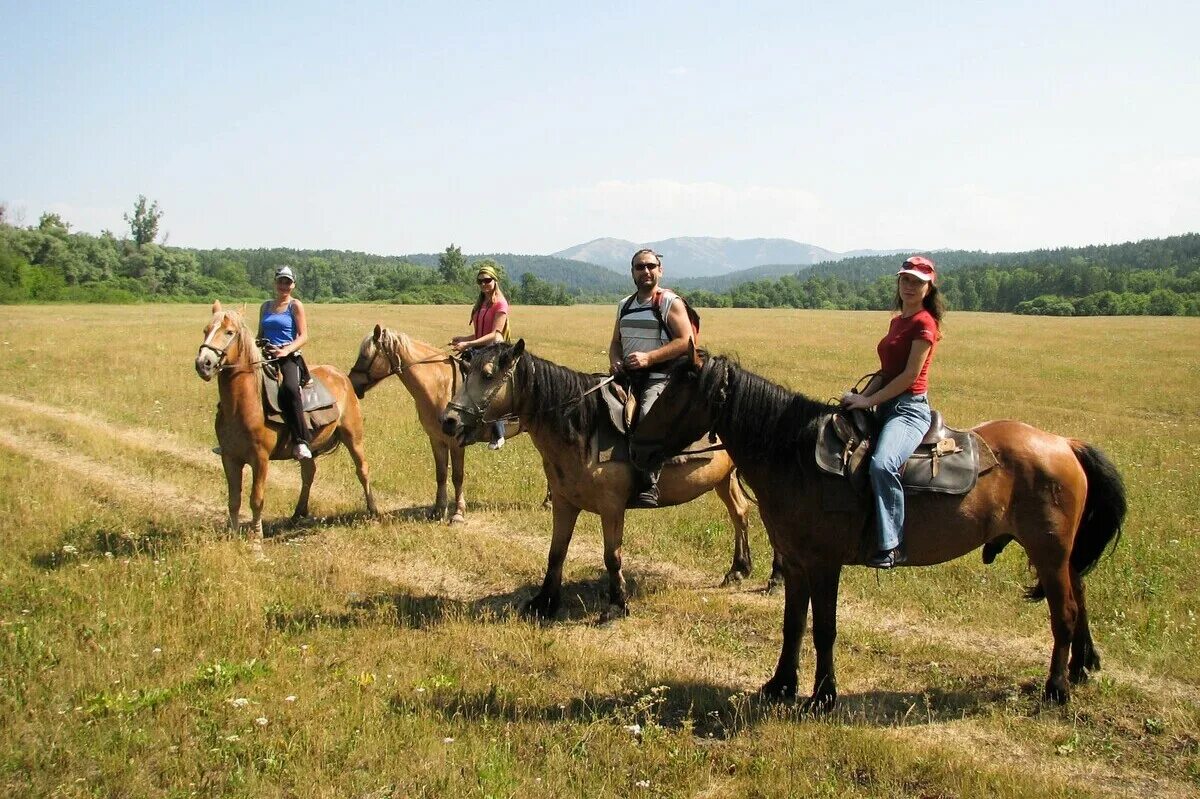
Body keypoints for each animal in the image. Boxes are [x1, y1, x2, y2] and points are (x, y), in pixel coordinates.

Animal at [441, 338, 768, 623]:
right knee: (740, 513)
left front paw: (616, 606)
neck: (583, 429)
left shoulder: (612, 508)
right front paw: (545, 602)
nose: (449, 421)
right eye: (466, 371)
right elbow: (556, 552)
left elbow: (612, 556)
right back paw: (739, 569)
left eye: (488, 375)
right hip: (723, 479)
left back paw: (773, 578)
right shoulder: (563, 503)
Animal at [633, 345, 1128, 705]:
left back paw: (1057, 689)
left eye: (672, 395)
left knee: (1063, 613)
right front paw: (780, 686)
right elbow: (793, 625)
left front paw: (823, 697)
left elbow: (824, 628)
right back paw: (1081, 666)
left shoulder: (824, 564)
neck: (794, 454)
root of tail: (1064, 443)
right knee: (1078, 595)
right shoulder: (794, 563)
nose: (636, 446)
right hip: (1059, 555)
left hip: (1048, 551)